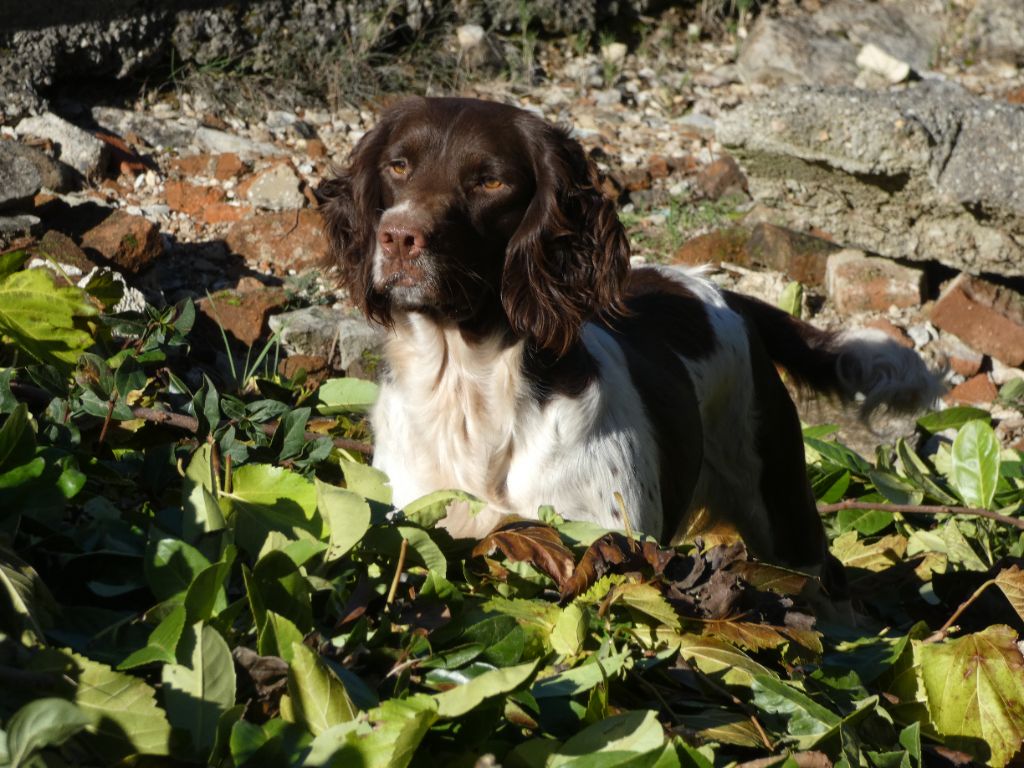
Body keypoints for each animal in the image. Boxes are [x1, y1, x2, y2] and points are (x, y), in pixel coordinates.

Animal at [317, 97, 937, 593]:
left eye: (491, 182)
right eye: (398, 165)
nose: (398, 236)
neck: (467, 386)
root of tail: (724, 292)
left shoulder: (603, 541)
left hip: (783, 511)